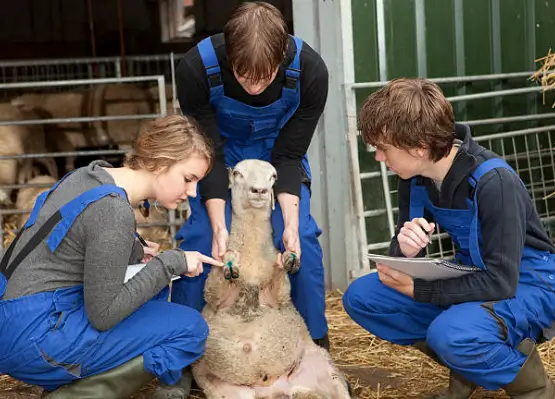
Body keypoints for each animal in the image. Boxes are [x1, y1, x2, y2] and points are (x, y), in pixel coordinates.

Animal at [189, 159, 350, 399]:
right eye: (237, 174)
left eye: (273, 176)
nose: (259, 191)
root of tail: (274, 389)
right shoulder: (214, 298)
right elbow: (219, 274)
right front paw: (229, 258)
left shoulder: (279, 298)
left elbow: (280, 279)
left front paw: (286, 257)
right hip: (226, 392)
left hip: (324, 368)